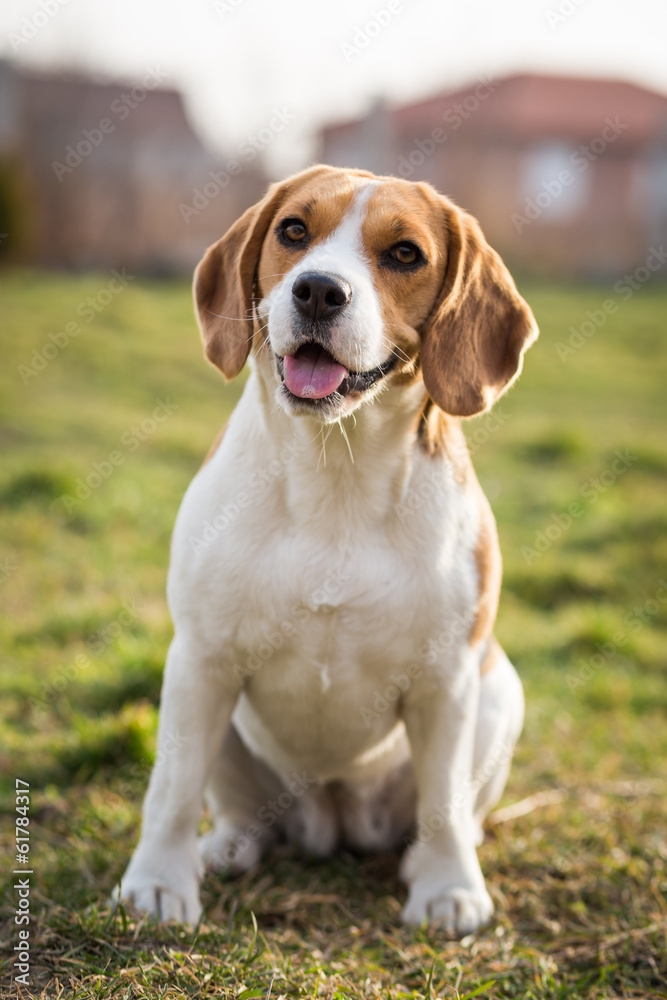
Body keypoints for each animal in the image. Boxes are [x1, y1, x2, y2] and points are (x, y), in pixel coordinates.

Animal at [117, 162, 540, 936]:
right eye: (293, 231)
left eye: (404, 253)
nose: (317, 290)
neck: (334, 470)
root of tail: (334, 819)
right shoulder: (200, 658)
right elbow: (172, 786)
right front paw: (158, 883)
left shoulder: (447, 682)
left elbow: (442, 798)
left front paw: (447, 888)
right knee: (232, 806)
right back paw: (226, 848)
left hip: (499, 694)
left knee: (452, 811)